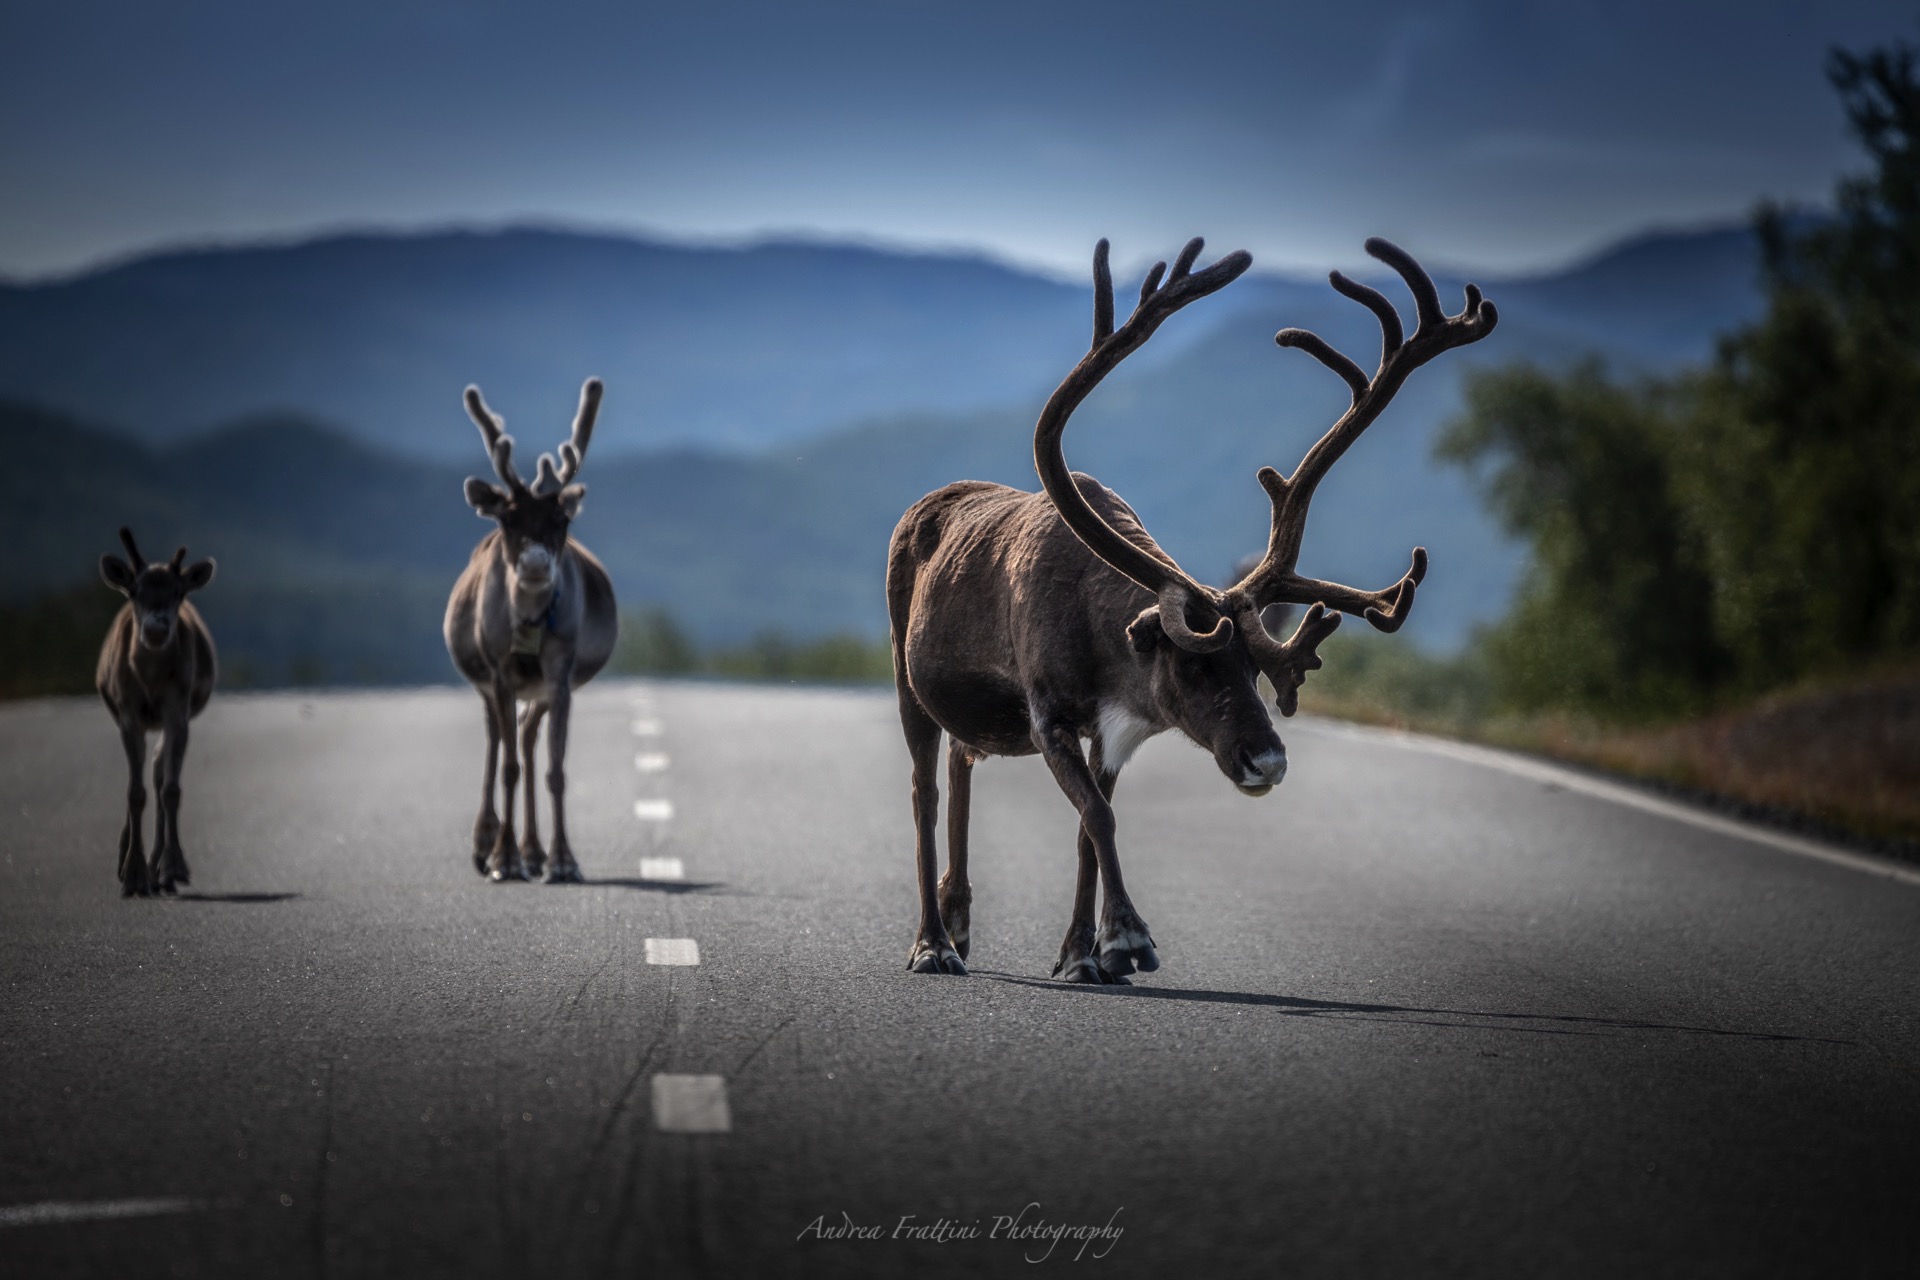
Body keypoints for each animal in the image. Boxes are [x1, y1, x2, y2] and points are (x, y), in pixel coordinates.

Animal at [97, 528, 217, 897]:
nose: (155, 629)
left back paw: (158, 868)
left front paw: (171, 867)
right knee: (144, 773)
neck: (149, 679)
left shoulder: (177, 712)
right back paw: (128, 861)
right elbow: (135, 794)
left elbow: (171, 789)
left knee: (158, 771)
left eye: (178, 593)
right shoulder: (128, 713)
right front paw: (133, 875)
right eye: (135, 591)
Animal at [445, 378, 619, 884]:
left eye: (562, 519)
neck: (528, 625)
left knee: (524, 735)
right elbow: (508, 767)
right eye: (508, 517)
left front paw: (563, 859)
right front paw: (503, 859)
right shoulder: (500, 672)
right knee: (496, 741)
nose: (537, 564)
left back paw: (534, 851)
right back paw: (487, 844)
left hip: (538, 689)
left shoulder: (559, 676)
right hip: (486, 682)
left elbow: (555, 769)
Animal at [887, 236, 1496, 982]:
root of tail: (924, 506)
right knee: (924, 794)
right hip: (907, 678)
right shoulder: (1048, 714)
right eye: (1196, 665)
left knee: (961, 764)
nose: (1268, 761)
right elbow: (1098, 817)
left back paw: (960, 920)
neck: (1106, 635)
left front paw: (1081, 952)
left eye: (1256, 670)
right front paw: (1125, 938)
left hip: (969, 716)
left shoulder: (1106, 731)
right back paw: (932, 943)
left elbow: (1089, 825)